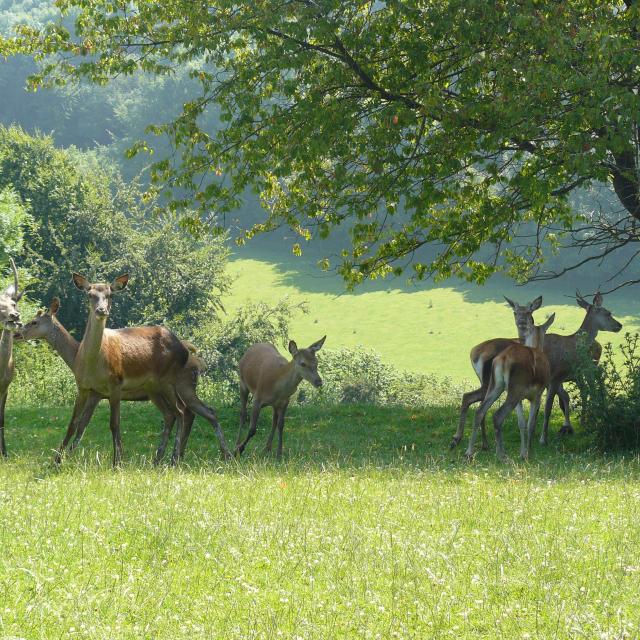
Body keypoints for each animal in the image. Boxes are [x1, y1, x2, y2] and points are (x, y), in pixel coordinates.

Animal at [53, 272, 231, 468]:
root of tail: (185, 350)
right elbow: (73, 423)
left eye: (110, 295)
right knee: (175, 414)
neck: (91, 364)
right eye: (89, 294)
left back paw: (176, 459)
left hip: (169, 381)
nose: (101, 310)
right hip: (155, 388)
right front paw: (56, 461)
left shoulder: (115, 384)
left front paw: (117, 463)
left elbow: (114, 424)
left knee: (182, 412)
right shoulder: (84, 387)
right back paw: (162, 459)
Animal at [450, 296, 544, 450]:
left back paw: (476, 442)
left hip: (486, 382)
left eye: (529, 311)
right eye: (515, 312)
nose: (521, 322)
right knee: (472, 398)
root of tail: (474, 353)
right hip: (489, 382)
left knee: (474, 401)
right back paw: (461, 439)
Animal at [464, 314, 556, 460]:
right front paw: (528, 453)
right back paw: (501, 455)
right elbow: (530, 424)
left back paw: (469, 452)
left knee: (479, 410)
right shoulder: (538, 394)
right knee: (497, 415)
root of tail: (502, 359)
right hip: (514, 390)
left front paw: (522, 453)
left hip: (496, 387)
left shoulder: (520, 400)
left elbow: (521, 423)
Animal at [536, 290, 624, 444]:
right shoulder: (555, 378)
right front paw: (543, 439)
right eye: (608, 313)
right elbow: (548, 407)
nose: (619, 325)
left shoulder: (563, 377)